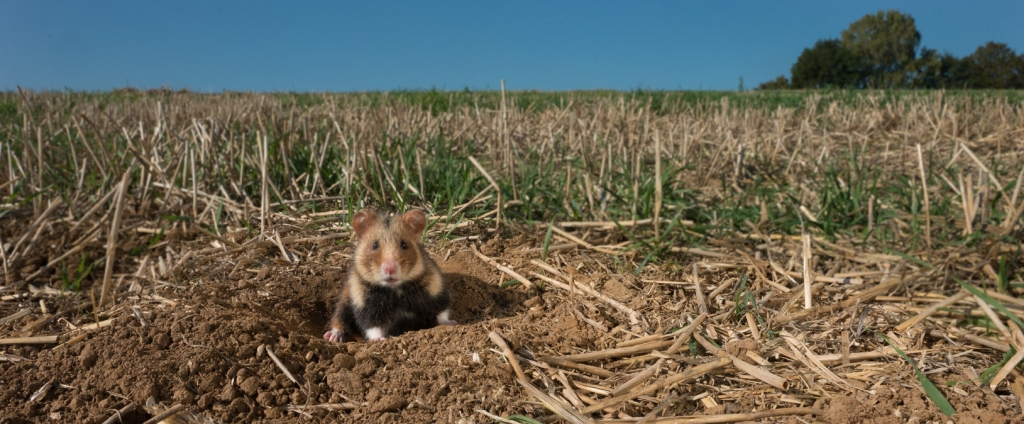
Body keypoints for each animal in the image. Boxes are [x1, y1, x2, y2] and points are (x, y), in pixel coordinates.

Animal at [323, 206, 456, 342]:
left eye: (404, 244)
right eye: (375, 245)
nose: (390, 269)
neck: (395, 289)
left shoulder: (435, 290)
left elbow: (442, 312)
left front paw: (452, 323)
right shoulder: (366, 305)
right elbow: (373, 326)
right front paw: (379, 340)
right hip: (344, 300)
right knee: (339, 319)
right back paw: (332, 337)